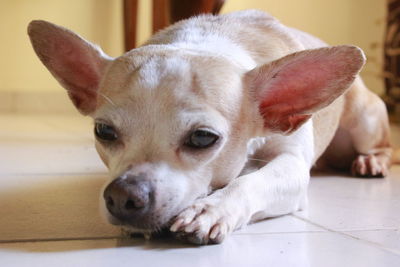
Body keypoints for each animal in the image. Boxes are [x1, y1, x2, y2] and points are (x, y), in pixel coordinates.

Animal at [28, 9, 394, 245]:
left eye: (203, 138)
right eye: (103, 132)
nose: (122, 196)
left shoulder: (292, 167)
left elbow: (251, 181)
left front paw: (211, 210)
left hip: (364, 118)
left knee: (383, 147)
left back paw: (370, 161)